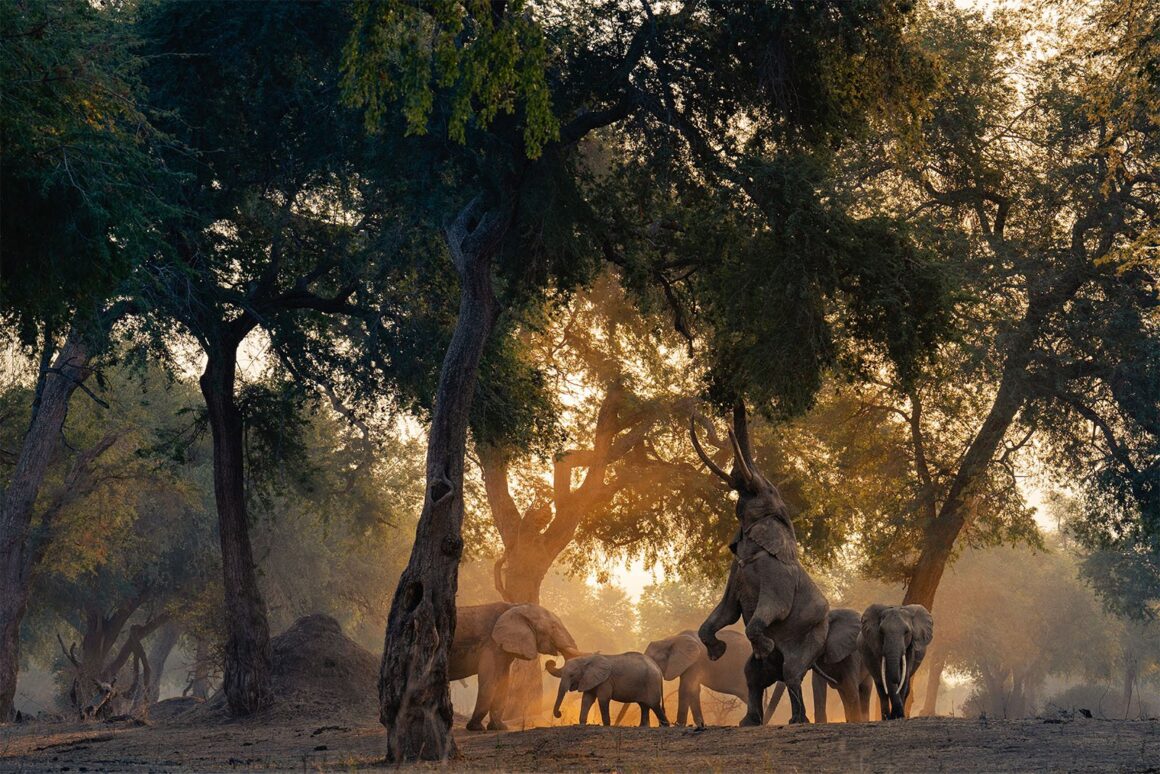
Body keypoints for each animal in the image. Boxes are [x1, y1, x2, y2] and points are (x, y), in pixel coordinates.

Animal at [447, 598, 584, 733]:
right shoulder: (490, 644)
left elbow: (503, 682)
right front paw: (476, 728)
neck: (515, 606)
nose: (551, 662)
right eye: (553, 627)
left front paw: (499, 728)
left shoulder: (502, 649)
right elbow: (490, 681)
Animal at [691, 406, 830, 728]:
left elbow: (773, 608)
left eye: (766, 489)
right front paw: (717, 652)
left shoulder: (777, 576)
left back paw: (797, 720)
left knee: (792, 672)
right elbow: (726, 611)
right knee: (752, 676)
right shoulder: (736, 570)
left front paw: (764, 645)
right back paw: (749, 722)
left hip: (813, 637)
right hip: (765, 668)